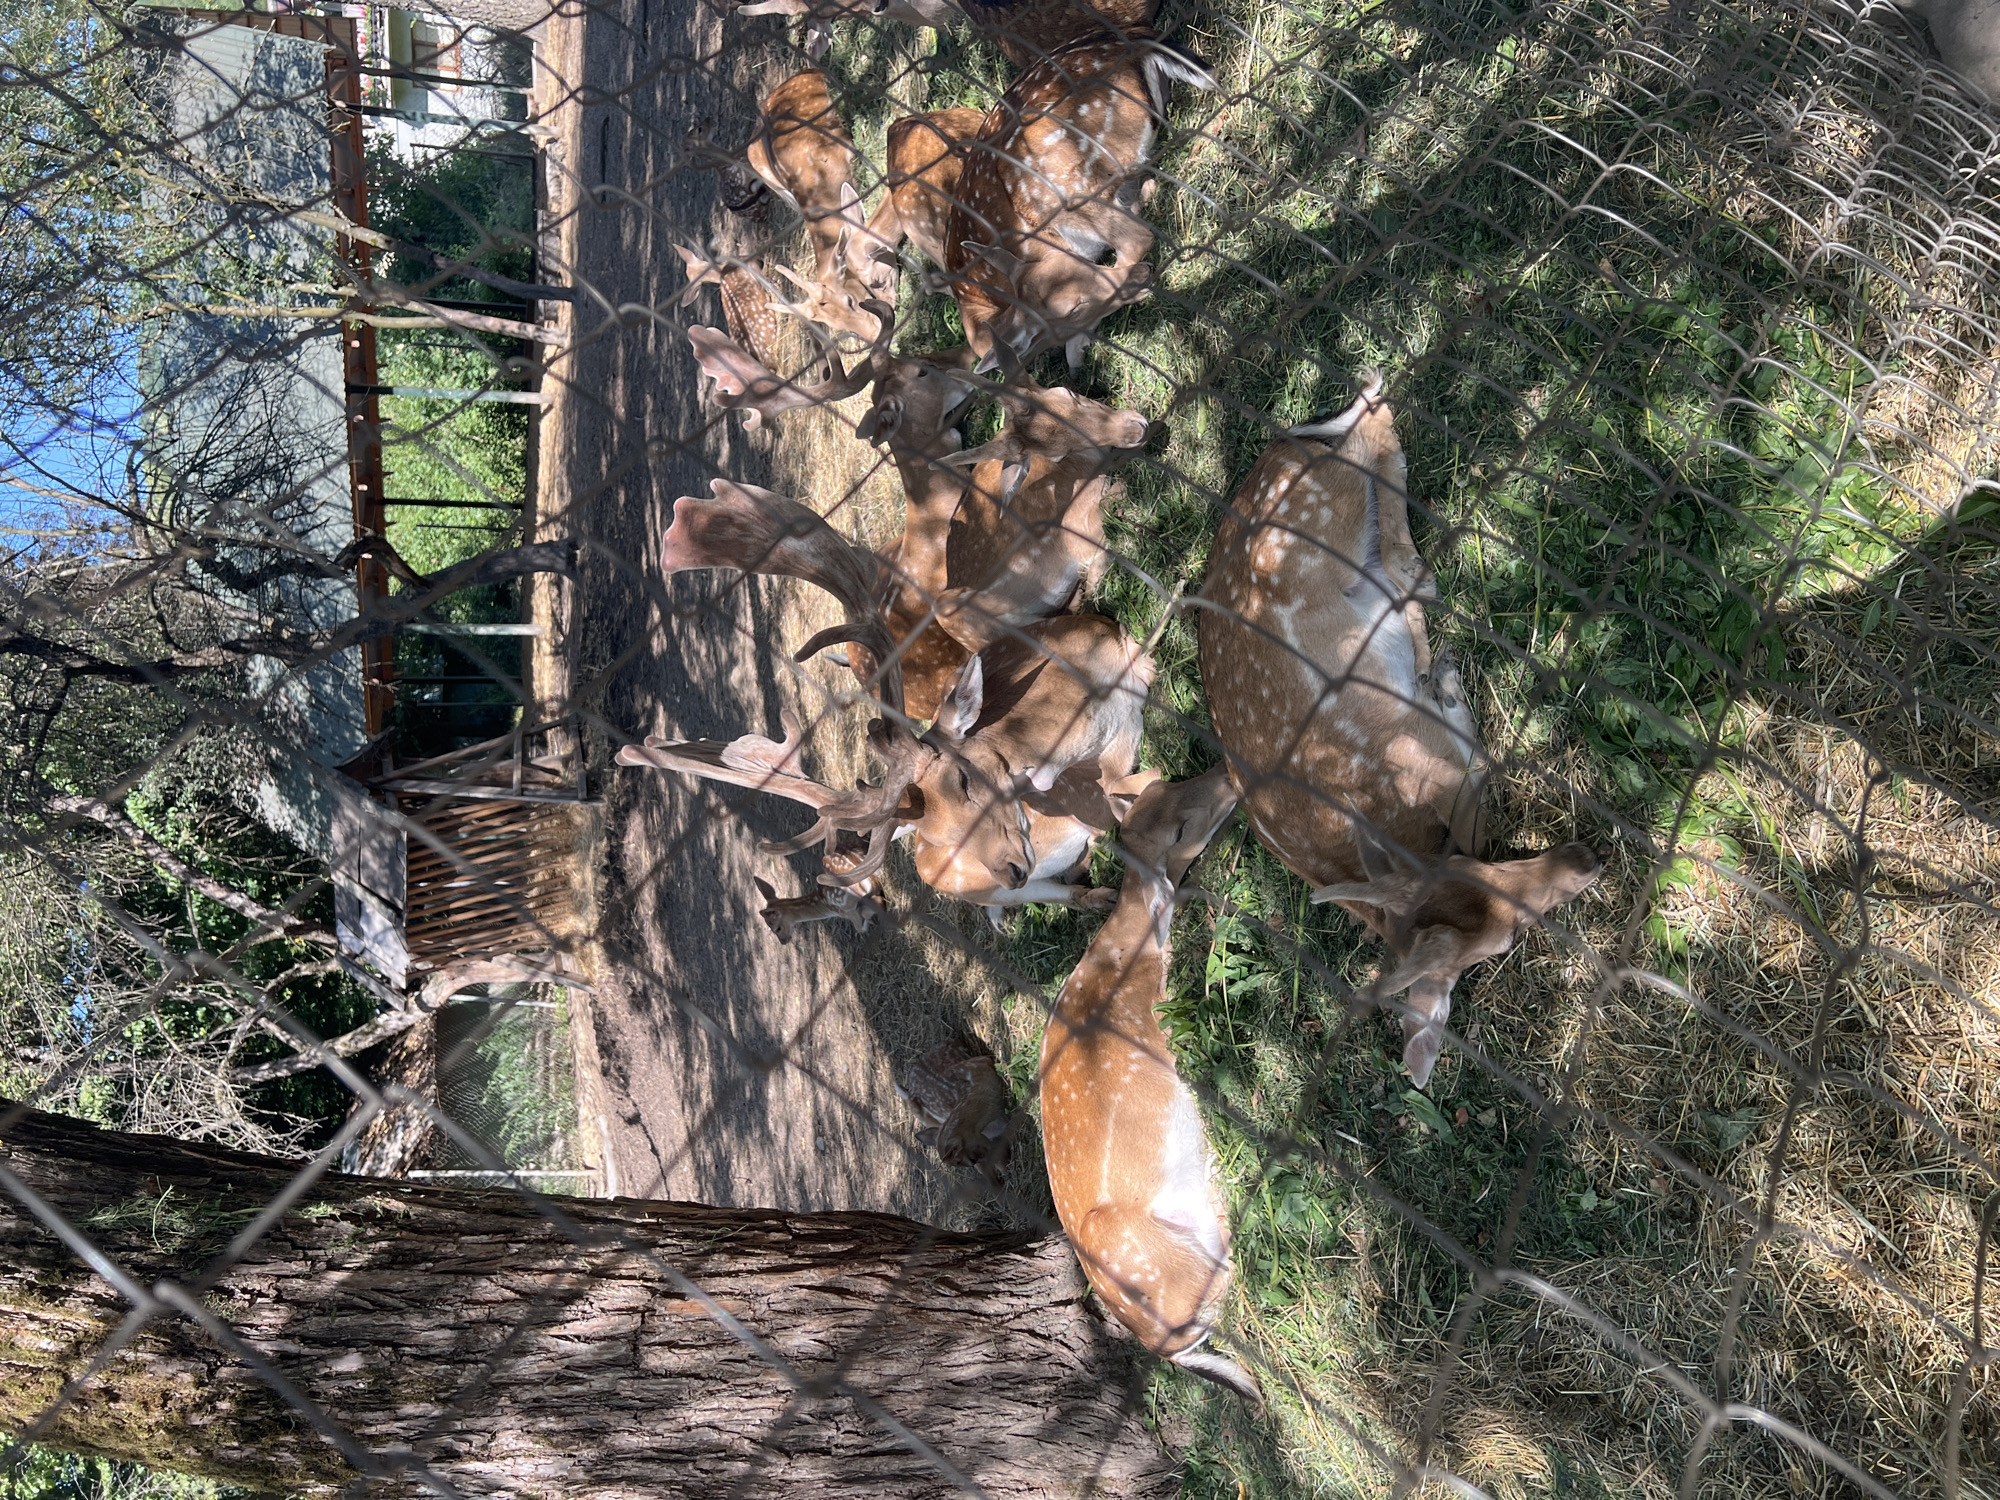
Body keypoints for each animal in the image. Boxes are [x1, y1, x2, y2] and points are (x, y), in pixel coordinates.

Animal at [1197, 372, 1603, 1088]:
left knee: (1364, 435)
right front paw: (1444, 683)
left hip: (1323, 503)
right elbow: (1477, 777)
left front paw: (1441, 678)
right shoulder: (1431, 759)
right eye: (1506, 935)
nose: (1587, 858)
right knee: (1375, 467)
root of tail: (1272, 458)